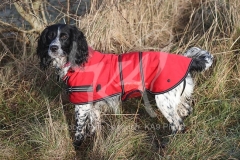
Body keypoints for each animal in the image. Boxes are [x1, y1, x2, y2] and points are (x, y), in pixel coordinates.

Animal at [37, 23, 214, 147]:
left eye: (64, 36)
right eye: (50, 36)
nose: (53, 48)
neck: (77, 62)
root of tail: (189, 61)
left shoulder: (82, 105)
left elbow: (79, 131)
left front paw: (77, 147)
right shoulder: (93, 106)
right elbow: (94, 127)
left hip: (164, 101)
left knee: (178, 125)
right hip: (179, 99)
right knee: (186, 113)